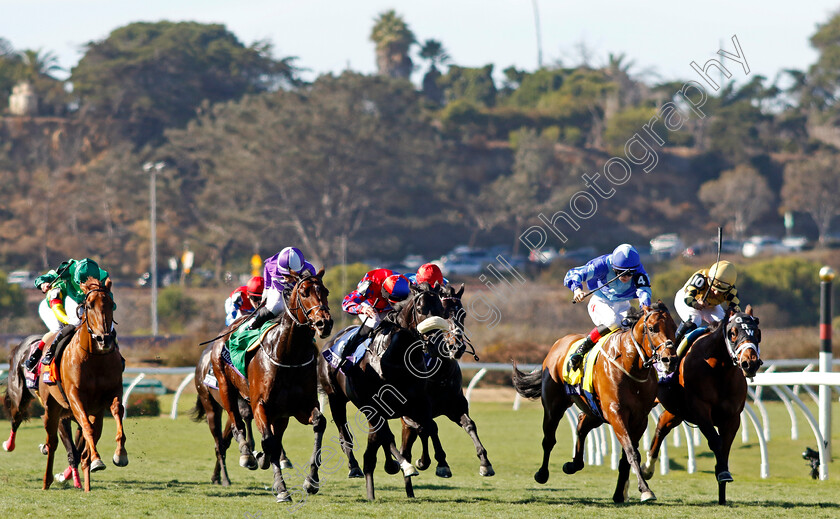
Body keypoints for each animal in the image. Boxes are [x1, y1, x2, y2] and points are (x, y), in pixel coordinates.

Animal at [37, 278, 127, 494]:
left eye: (111, 304)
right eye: (89, 305)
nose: (104, 338)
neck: (94, 358)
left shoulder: (113, 393)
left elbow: (117, 412)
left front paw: (120, 454)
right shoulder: (75, 396)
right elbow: (86, 428)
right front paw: (97, 460)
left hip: (95, 413)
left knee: (84, 448)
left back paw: (86, 483)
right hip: (52, 407)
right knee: (52, 443)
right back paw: (47, 480)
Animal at [212, 270, 334, 502]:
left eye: (326, 291)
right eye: (304, 293)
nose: (325, 323)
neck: (288, 353)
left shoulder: (302, 406)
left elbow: (319, 423)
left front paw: (311, 481)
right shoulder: (260, 405)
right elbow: (268, 440)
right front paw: (280, 486)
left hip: (281, 415)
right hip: (225, 388)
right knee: (237, 423)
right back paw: (247, 455)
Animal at [318, 282, 452, 502]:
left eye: (441, 310)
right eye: (421, 309)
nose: (435, 343)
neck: (396, 356)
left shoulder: (418, 402)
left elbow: (429, 427)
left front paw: (440, 464)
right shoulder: (375, 406)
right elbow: (388, 436)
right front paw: (406, 465)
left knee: (376, 440)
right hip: (337, 399)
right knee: (347, 435)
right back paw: (356, 467)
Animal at [508, 302, 680, 506]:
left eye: (675, 328)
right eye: (652, 328)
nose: (670, 360)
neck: (630, 364)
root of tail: (558, 343)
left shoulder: (640, 419)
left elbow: (627, 455)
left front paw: (620, 494)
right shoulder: (615, 412)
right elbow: (631, 451)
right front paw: (645, 490)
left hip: (595, 412)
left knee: (581, 427)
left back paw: (573, 465)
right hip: (554, 407)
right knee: (549, 439)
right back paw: (542, 474)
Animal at [644, 306, 760, 506]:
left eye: (758, 333)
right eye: (733, 333)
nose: (750, 362)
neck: (719, 369)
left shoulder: (732, 418)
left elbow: (725, 447)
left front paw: (722, 482)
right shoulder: (700, 409)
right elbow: (715, 441)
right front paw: (722, 472)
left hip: (676, 411)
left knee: (661, 426)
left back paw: (647, 468)